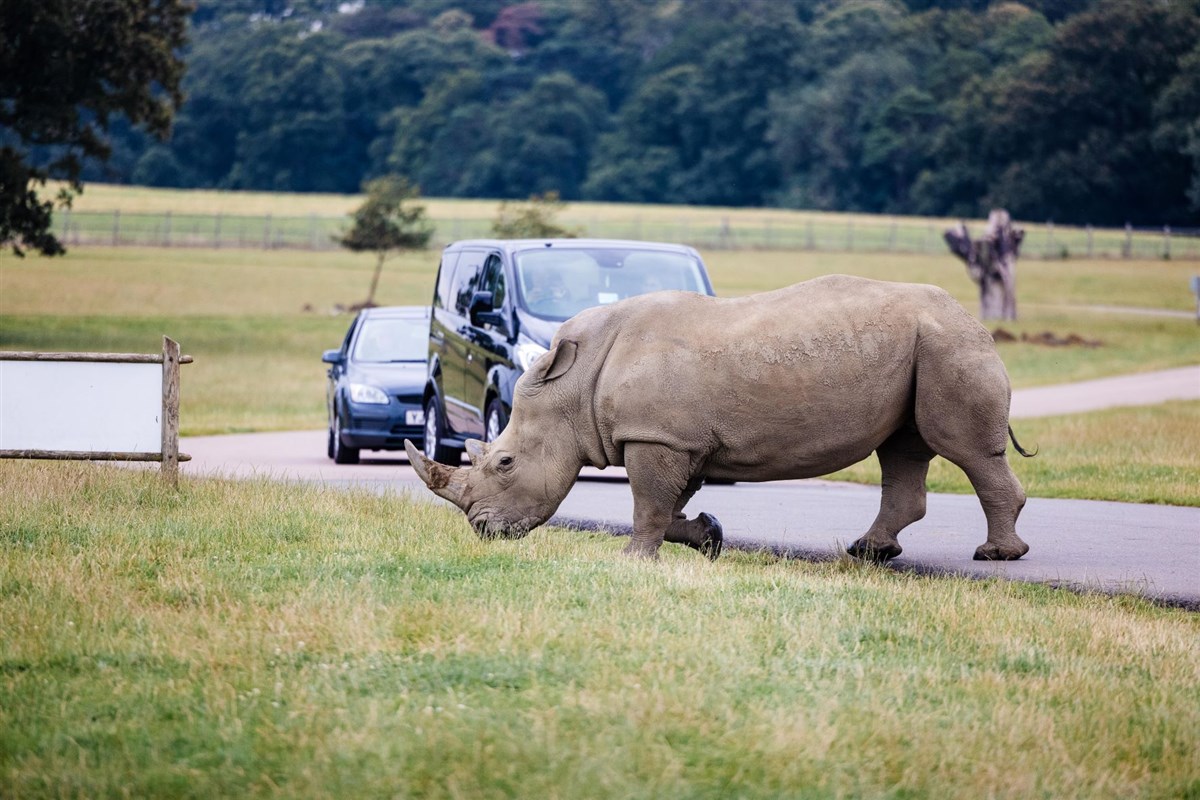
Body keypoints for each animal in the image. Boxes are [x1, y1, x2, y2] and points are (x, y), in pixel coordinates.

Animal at [406, 275, 1032, 562]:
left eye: (505, 463)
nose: (483, 531)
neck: (574, 386)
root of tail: (971, 318)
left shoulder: (657, 436)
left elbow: (648, 501)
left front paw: (633, 559)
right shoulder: (681, 439)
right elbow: (671, 504)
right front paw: (708, 536)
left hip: (949, 345)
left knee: (962, 450)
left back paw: (997, 556)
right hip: (925, 346)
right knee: (903, 448)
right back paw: (868, 553)